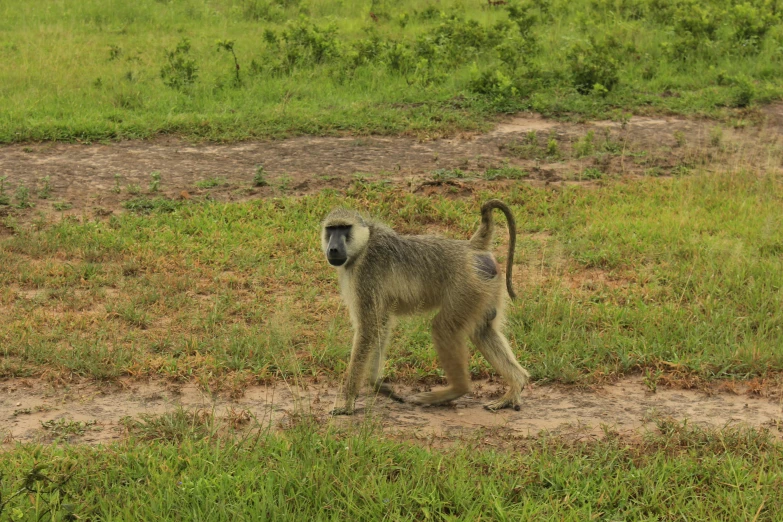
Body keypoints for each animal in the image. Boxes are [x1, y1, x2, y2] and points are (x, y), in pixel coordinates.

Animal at [320, 199, 532, 414]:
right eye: (331, 229)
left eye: (344, 228)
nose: (333, 249)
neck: (363, 246)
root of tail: (471, 247)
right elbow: (380, 325)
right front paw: (377, 384)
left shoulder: (366, 272)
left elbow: (368, 328)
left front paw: (348, 403)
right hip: (486, 287)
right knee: (483, 331)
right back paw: (515, 386)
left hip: (467, 288)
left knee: (443, 328)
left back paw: (456, 390)